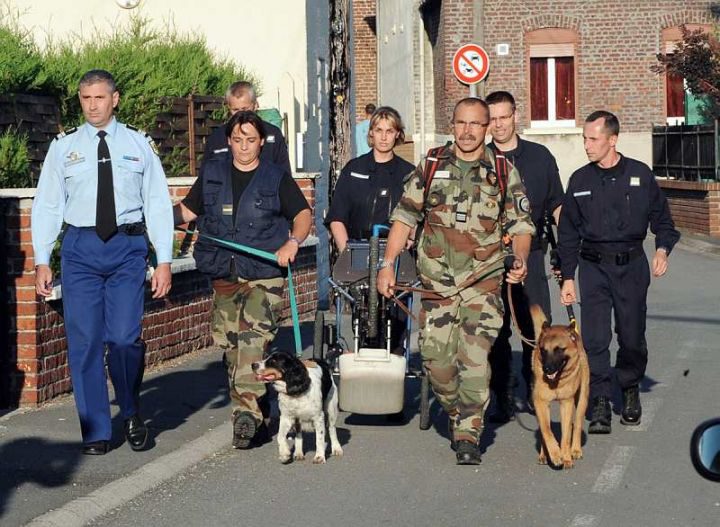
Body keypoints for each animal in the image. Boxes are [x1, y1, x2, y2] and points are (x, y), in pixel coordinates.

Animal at [532, 306, 588, 470]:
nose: (547, 369)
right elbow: (546, 430)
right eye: (543, 350)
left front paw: (565, 457)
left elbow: (566, 435)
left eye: (559, 350)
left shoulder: (567, 403)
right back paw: (544, 455)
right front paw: (555, 455)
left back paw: (574, 450)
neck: (556, 381)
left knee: (576, 425)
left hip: (582, 400)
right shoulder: (540, 403)